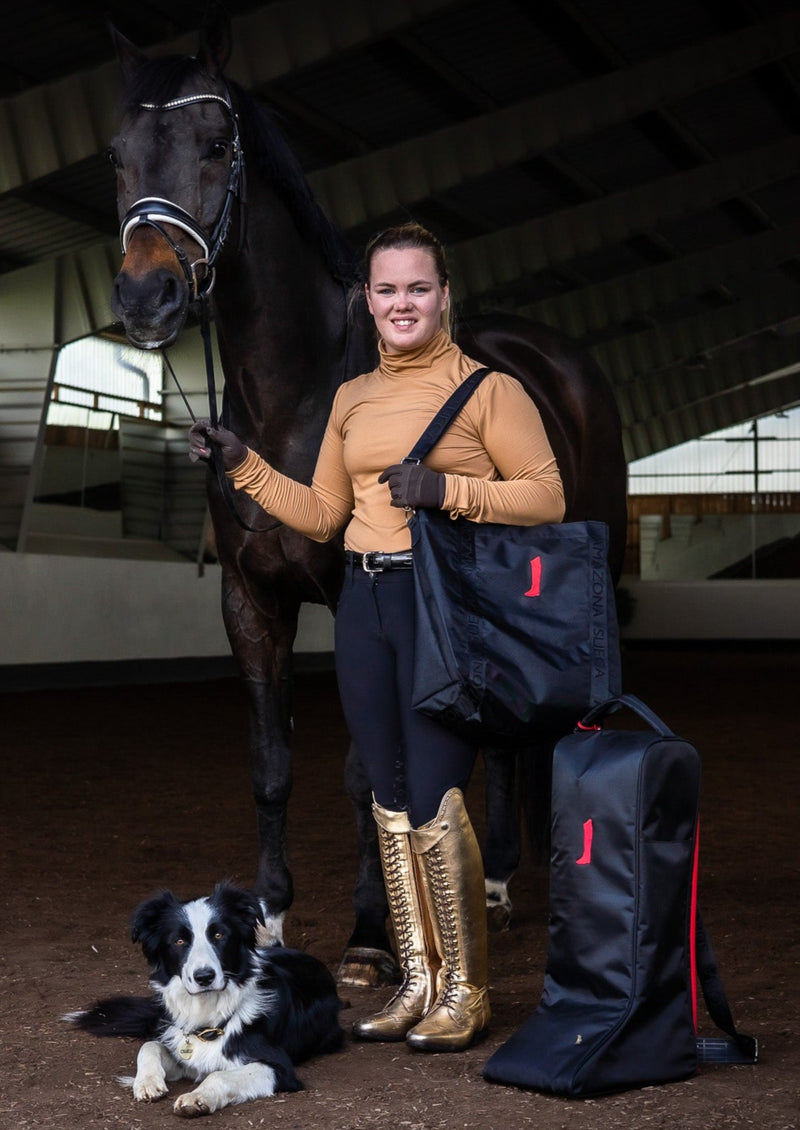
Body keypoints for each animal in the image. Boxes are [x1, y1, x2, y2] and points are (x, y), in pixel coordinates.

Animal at [64, 881, 343, 1111]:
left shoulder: (279, 1067)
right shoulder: (181, 1047)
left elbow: (218, 1074)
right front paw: (146, 1082)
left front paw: (196, 1098)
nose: (204, 976)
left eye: (219, 935)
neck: (209, 1017)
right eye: (179, 941)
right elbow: (150, 1045)